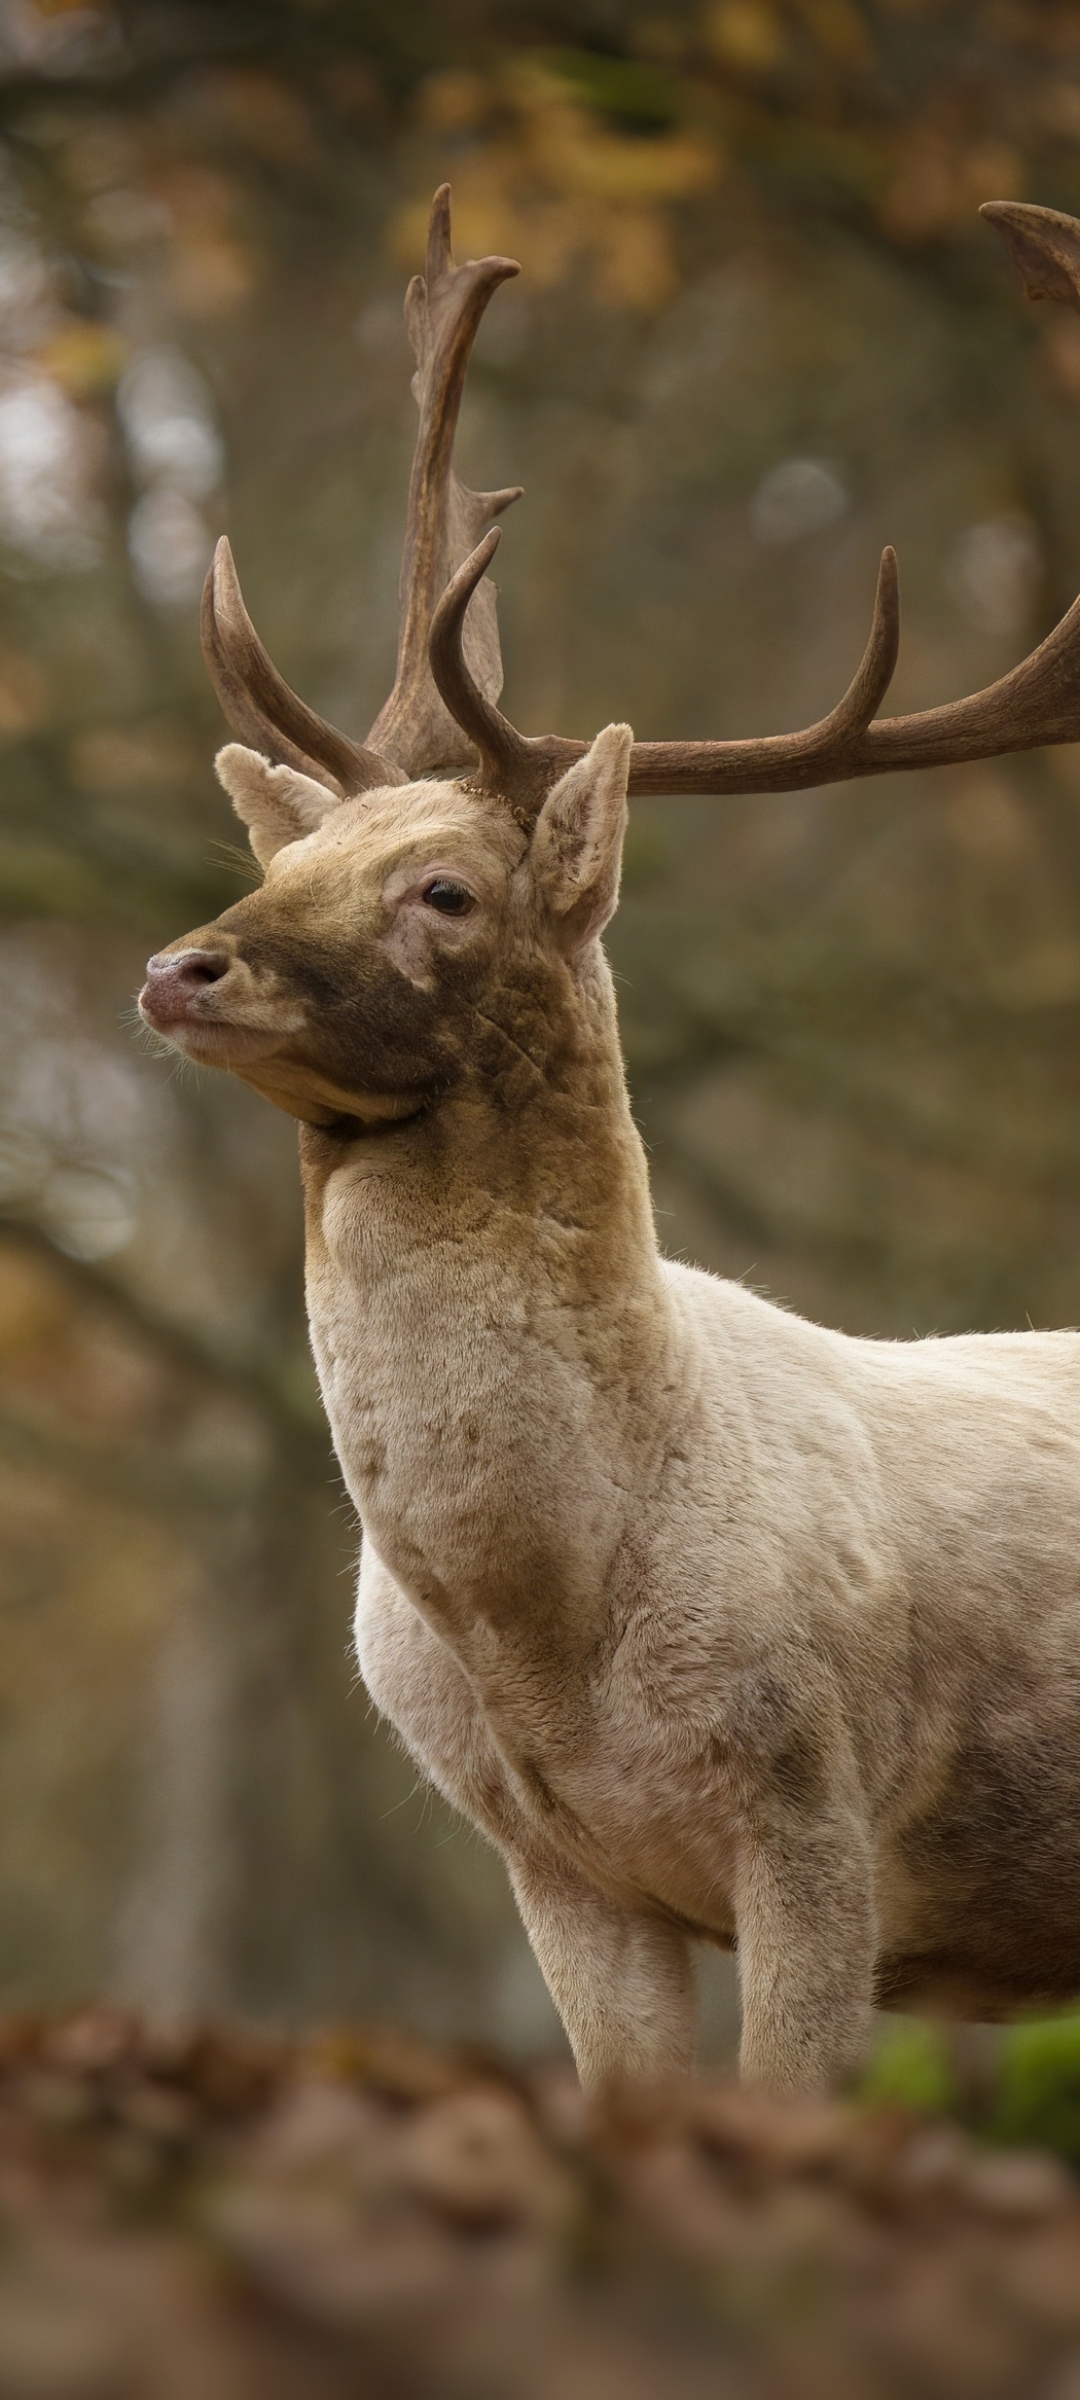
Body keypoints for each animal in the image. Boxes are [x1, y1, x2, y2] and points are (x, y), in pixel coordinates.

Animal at [141, 196, 1080, 2092]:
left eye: (444, 888)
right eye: (293, 855)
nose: (181, 966)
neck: (546, 1640)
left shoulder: (817, 1806)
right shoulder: (557, 1866)